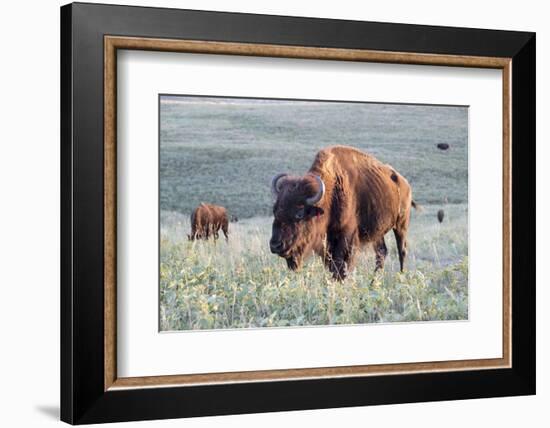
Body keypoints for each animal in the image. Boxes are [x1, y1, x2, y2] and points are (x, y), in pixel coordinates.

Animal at [270, 146, 418, 280]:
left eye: (299, 214)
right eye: (275, 210)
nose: (276, 245)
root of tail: (405, 184)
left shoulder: (347, 237)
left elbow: (341, 265)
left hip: (401, 224)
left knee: (402, 250)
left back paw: (401, 276)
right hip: (378, 232)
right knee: (381, 252)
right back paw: (373, 281)